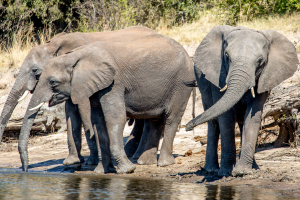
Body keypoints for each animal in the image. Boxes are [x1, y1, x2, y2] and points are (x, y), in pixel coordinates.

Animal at [0, 26, 156, 170]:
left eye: (35, 71)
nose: (25, 169)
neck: (55, 45)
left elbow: (85, 112)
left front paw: (91, 162)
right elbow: (71, 114)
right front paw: (72, 162)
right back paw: (132, 153)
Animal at [20, 34, 195, 173]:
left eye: (53, 82)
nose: (25, 169)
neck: (77, 56)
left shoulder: (114, 83)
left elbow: (115, 118)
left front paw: (127, 170)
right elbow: (98, 122)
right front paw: (102, 171)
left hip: (181, 82)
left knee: (171, 118)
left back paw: (164, 164)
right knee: (154, 121)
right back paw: (145, 162)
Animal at [186, 25, 298, 177]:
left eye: (260, 61)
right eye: (227, 57)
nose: (187, 126)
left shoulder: (266, 77)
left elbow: (253, 116)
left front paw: (242, 172)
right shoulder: (218, 75)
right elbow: (226, 119)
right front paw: (226, 172)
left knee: (240, 122)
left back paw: (254, 167)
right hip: (201, 81)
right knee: (214, 123)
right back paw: (211, 170)